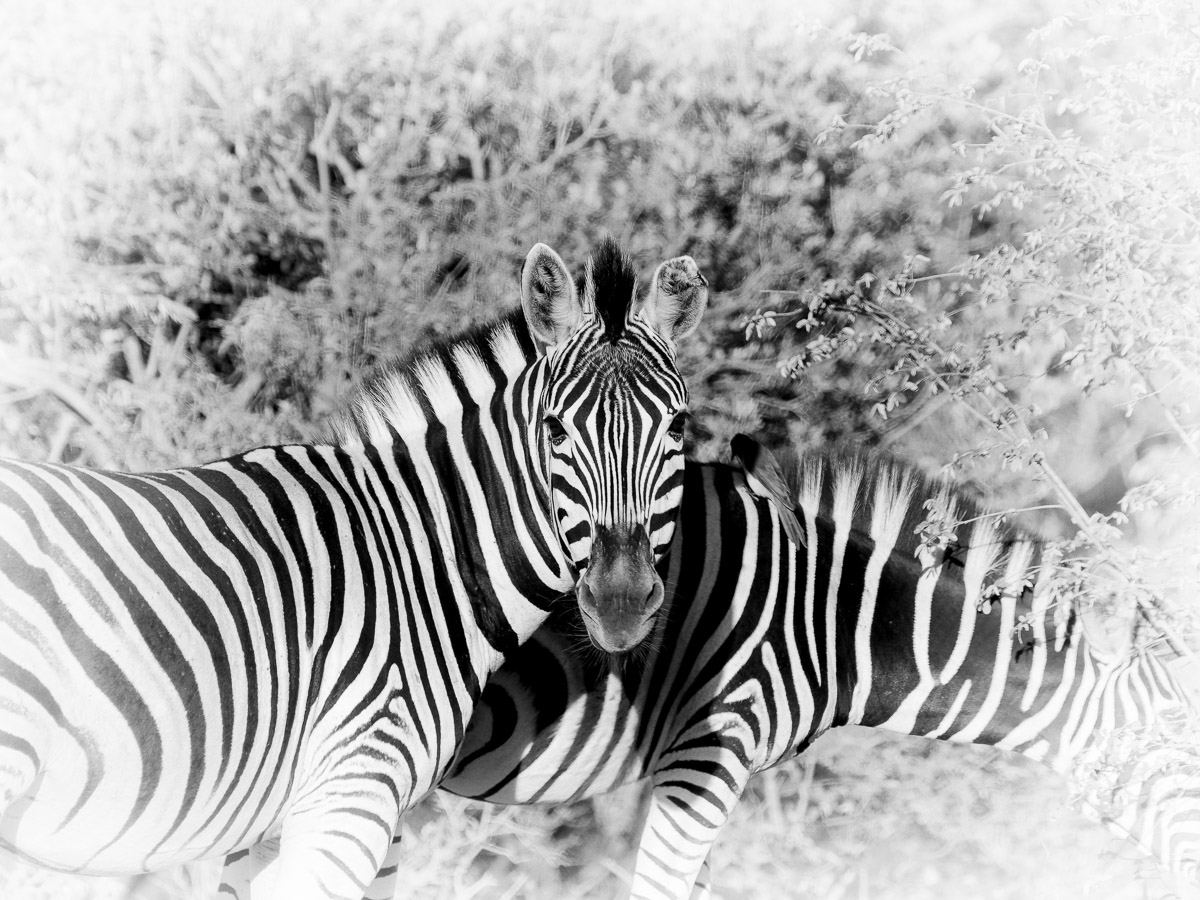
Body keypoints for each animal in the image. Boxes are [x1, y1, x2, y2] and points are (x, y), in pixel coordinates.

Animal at [0, 237, 708, 900]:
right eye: (556, 431)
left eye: (677, 427)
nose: (620, 602)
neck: (418, 555)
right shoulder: (352, 795)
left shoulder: (282, 823)